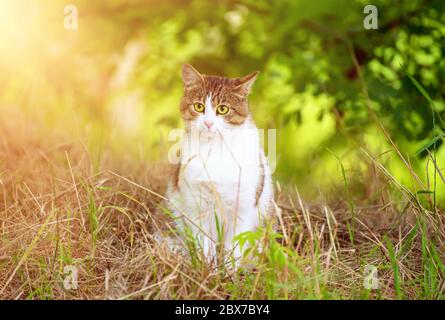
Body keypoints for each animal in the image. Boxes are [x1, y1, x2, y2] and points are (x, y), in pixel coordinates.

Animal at [163, 63, 274, 264]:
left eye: (222, 109)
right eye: (198, 106)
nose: (208, 123)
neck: (215, 149)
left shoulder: (243, 208)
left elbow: (235, 249)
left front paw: (229, 271)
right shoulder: (198, 207)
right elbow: (205, 246)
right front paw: (208, 269)